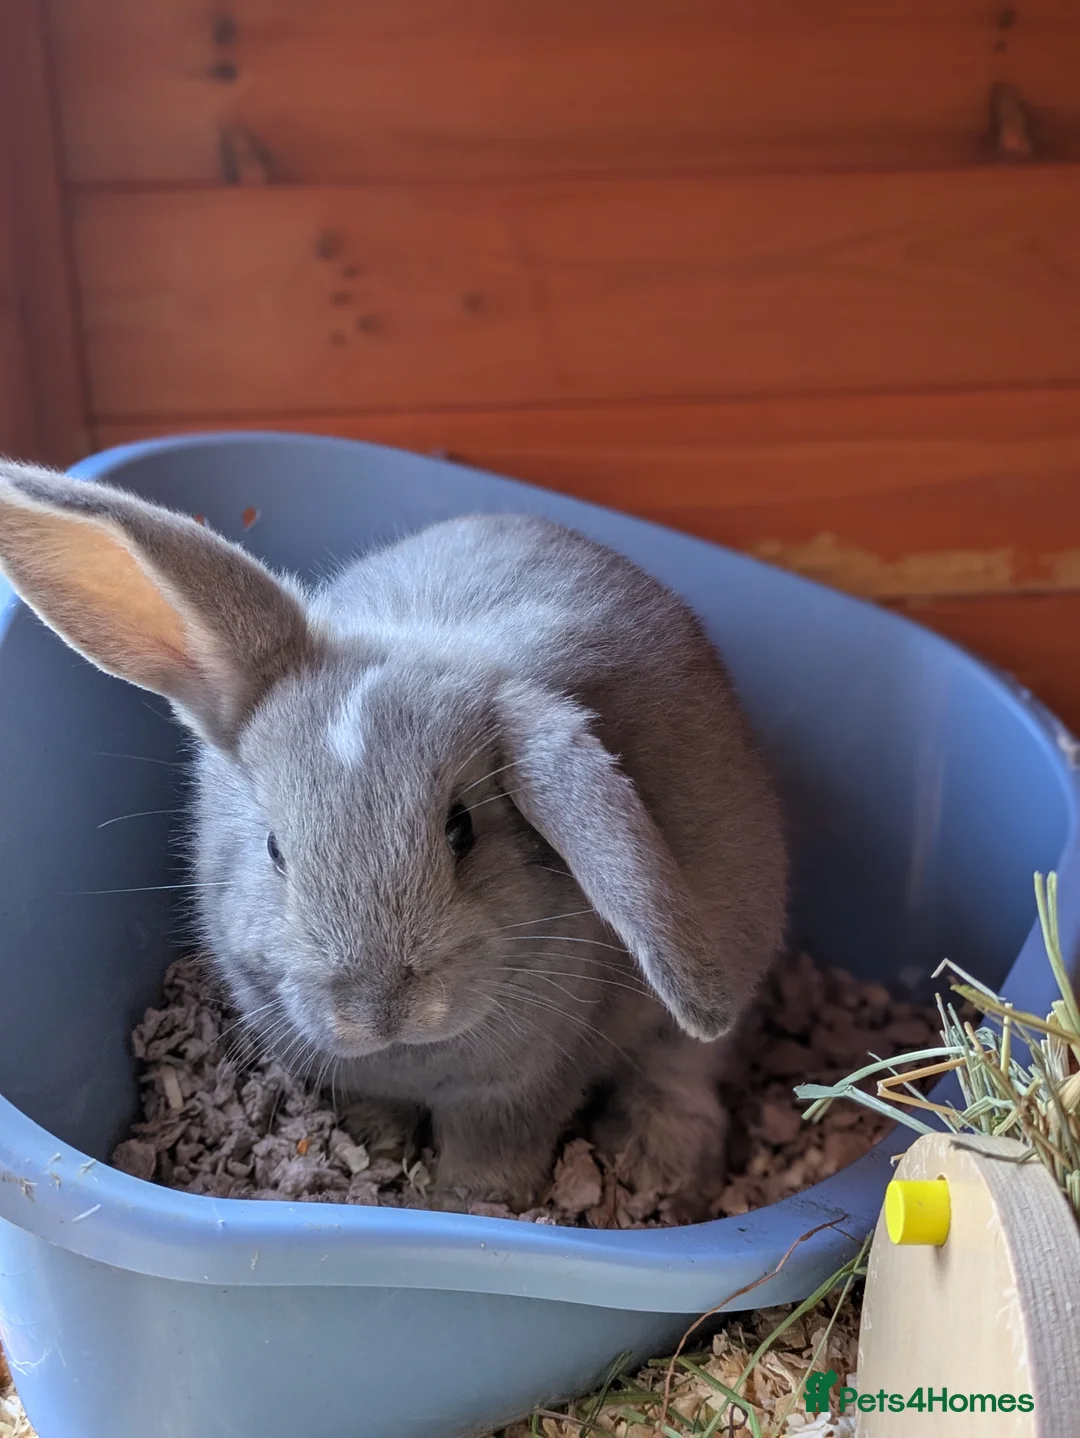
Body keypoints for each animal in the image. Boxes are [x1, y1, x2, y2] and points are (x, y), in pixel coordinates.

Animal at [0, 457, 787, 1215]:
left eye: (462, 829)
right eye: (274, 848)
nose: (377, 1010)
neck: (410, 1059)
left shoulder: (520, 1089)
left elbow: (493, 1153)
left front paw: (473, 1206)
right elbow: (376, 1119)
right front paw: (377, 1159)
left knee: (685, 1067)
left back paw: (664, 1162)